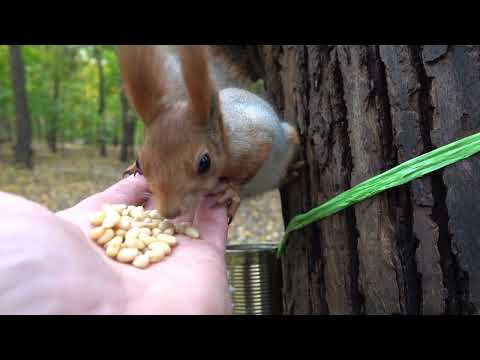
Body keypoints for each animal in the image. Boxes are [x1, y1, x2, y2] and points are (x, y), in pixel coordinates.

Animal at [118, 46, 302, 221]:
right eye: (140, 161)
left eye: (204, 162)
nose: (169, 213)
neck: (225, 138)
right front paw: (133, 167)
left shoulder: (251, 142)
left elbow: (253, 162)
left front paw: (232, 191)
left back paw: (292, 171)